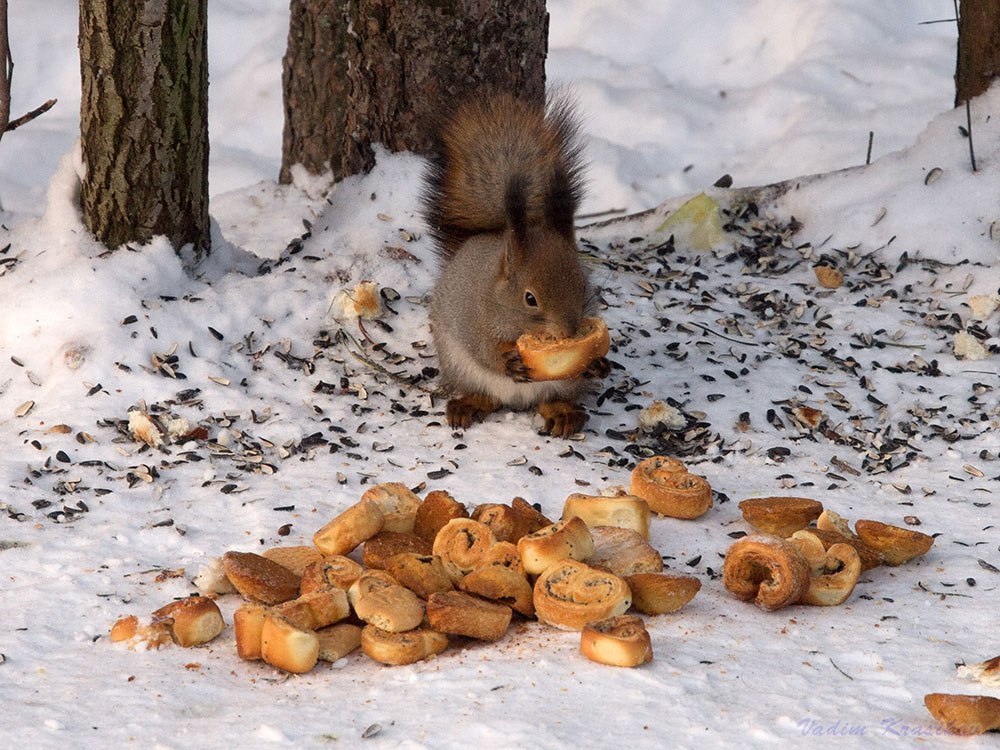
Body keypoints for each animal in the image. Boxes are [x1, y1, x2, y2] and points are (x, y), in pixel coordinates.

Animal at [422, 94, 608, 438]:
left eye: (582, 286)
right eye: (530, 298)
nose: (569, 331)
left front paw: (597, 364)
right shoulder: (473, 319)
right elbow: (485, 350)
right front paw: (508, 362)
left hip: (561, 386)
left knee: (551, 399)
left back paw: (563, 413)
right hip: (458, 365)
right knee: (484, 394)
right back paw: (467, 405)